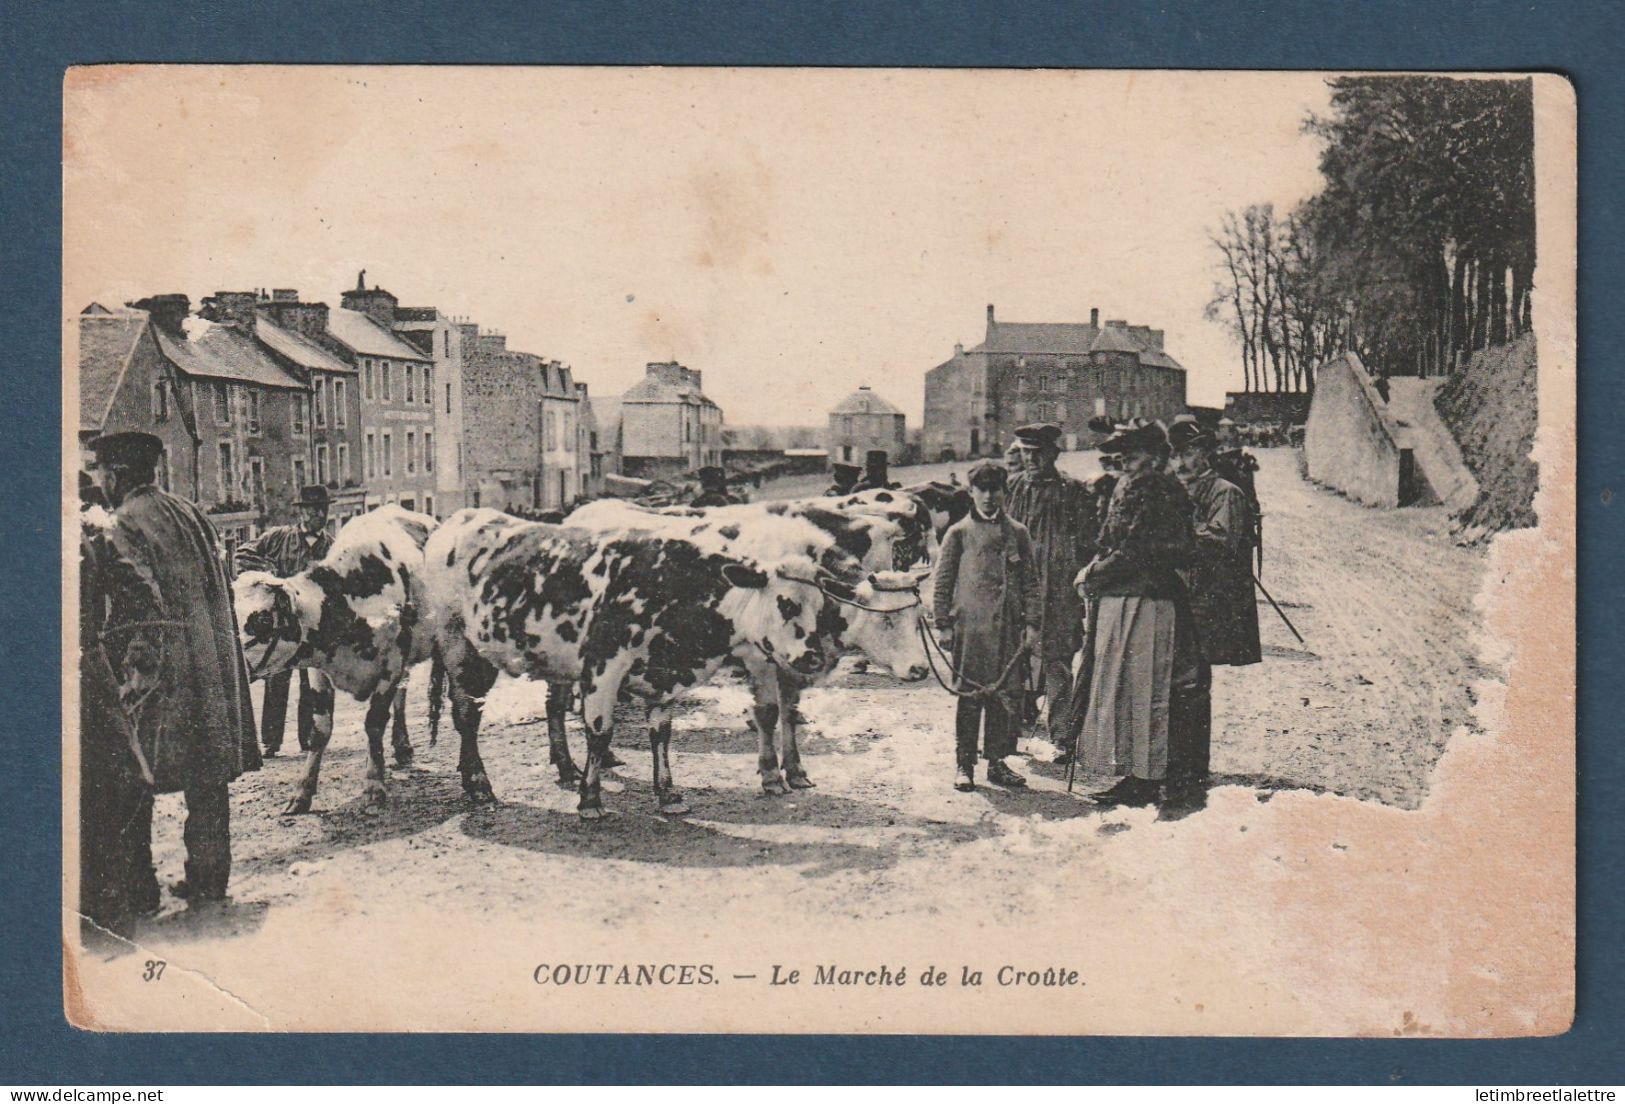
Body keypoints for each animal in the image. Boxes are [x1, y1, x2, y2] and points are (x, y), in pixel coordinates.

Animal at [232, 504, 442, 816]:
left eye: (263, 620)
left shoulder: (391, 664)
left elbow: (374, 722)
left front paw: (373, 787)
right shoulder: (319, 671)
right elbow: (320, 730)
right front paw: (301, 793)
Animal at [419, 510, 851, 819]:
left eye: (821, 605)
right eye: (786, 603)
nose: (813, 656)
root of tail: (459, 519)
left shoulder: (663, 677)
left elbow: (661, 735)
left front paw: (668, 794)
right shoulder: (603, 666)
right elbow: (599, 733)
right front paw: (590, 800)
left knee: (548, 708)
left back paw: (562, 768)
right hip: (458, 645)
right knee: (466, 715)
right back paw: (479, 783)